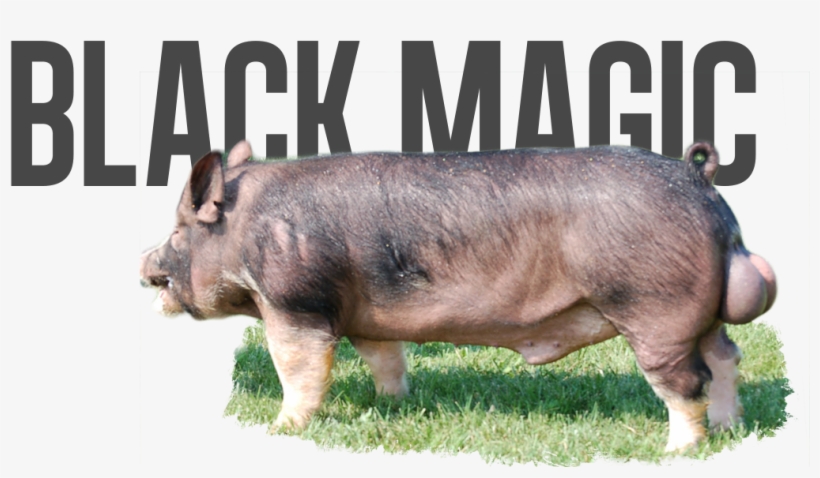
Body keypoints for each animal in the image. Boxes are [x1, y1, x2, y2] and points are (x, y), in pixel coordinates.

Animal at [139, 140, 776, 453]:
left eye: (179, 231)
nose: (144, 263)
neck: (245, 229)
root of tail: (698, 181)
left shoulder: (297, 301)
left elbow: (297, 367)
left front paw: (281, 429)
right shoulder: (364, 314)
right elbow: (385, 357)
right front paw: (393, 405)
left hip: (653, 308)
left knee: (687, 381)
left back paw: (678, 451)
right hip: (699, 317)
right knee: (727, 357)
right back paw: (729, 430)